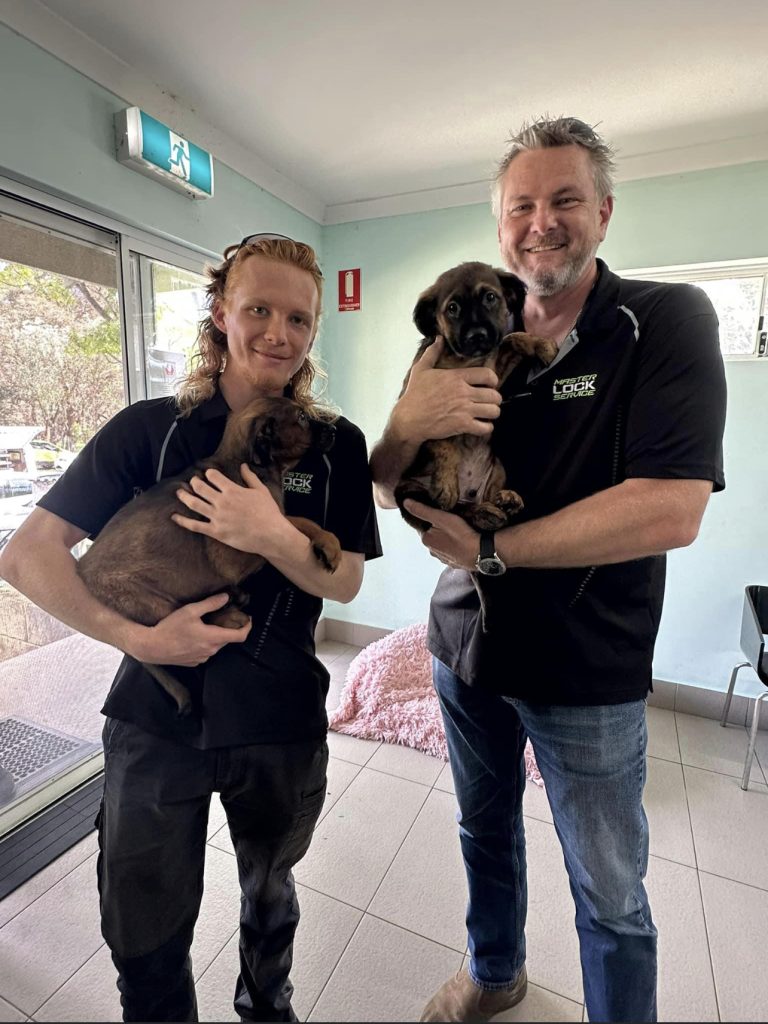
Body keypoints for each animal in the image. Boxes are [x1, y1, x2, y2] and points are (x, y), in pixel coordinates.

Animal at [79, 395, 342, 716]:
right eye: (302, 418)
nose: (334, 430)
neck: (245, 463)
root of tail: (82, 570)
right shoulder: (237, 548)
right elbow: (292, 522)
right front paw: (330, 545)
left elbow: (291, 522)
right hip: (148, 599)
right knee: (187, 615)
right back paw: (230, 612)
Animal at [393, 264, 557, 532]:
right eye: (452, 308)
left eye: (490, 297)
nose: (477, 335)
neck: (466, 359)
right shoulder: (427, 403)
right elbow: (443, 442)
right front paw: (446, 483)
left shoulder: (492, 378)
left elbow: (511, 338)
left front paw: (541, 345)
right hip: (409, 491)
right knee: (456, 511)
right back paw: (479, 511)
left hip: (497, 467)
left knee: (487, 497)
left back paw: (505, 501)